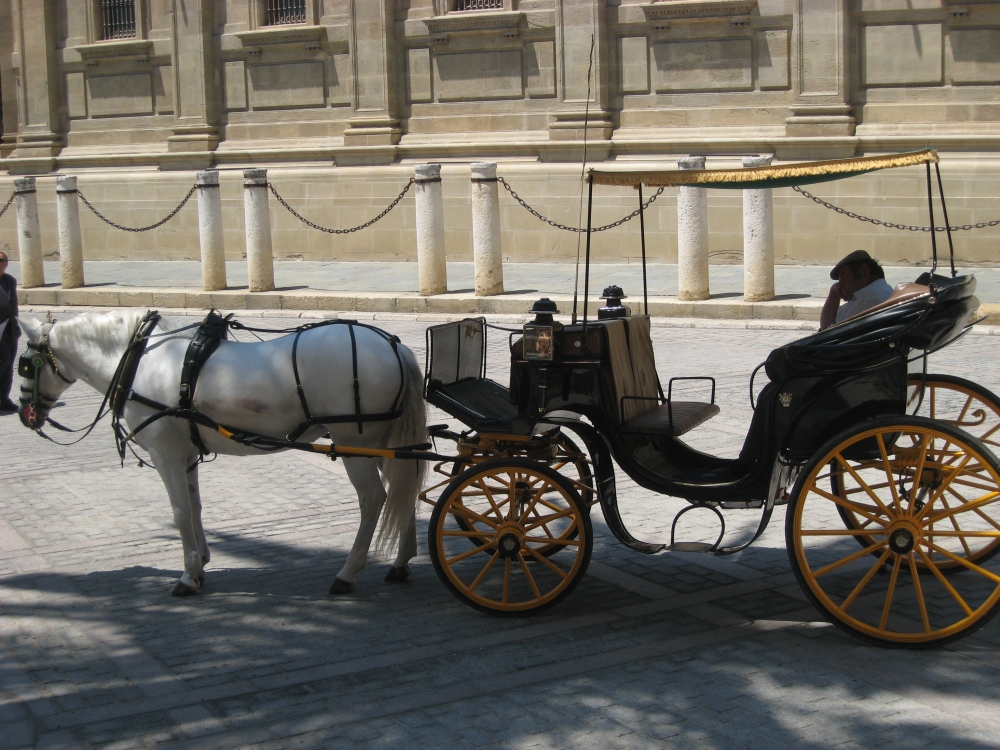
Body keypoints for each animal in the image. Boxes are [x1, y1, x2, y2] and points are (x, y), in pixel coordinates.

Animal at [16, 312, 426, 600]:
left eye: (23, 365)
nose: (25, 414)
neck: (139, 359)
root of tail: (396, 347)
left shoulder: (166, 454)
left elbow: (180, 512)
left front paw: (186, 576)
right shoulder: (185, 454)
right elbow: (195, 507)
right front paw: (200, 564)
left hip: (354, 443)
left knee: (374, 499)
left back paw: (347, 573)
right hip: (380, 444)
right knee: (404, 491)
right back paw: (401, 562)